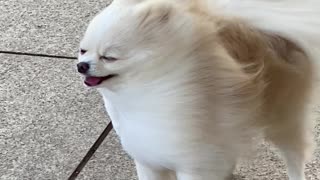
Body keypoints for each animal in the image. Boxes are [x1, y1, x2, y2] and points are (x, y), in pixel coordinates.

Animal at [76, 0, 318, 179]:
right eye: (82, 51)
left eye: (109, 57)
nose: (82, 65)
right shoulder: (148, 158)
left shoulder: (193, 162)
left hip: (282, 117)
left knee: (294, 154)